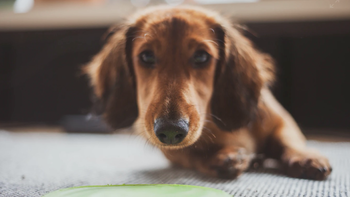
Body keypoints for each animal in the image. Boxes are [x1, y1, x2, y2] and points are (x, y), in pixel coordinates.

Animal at [83, 5, 332, 179]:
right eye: (146, 56)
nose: (171, 131)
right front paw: (222, 158)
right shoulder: (169, 150)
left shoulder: (281, 121)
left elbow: (287, 140)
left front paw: (305, 158)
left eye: (202, 56)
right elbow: (191, 154)